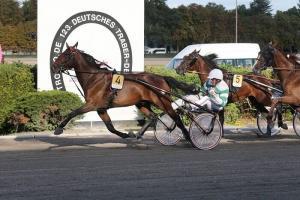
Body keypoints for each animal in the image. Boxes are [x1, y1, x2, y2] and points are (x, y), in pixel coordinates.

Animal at [52, 42, 197, 141]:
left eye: (66, 54)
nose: (53, 66)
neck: (94, 78)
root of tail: (162, 77)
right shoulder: (101, 108)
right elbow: (110, 127)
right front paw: (127, 134)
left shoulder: (92, 104)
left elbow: (73, 112)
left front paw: (59, 128)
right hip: (141, 103)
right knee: (152, 117)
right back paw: (138, 134)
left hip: (163, 101)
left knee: (176, 117)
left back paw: (188, 137)